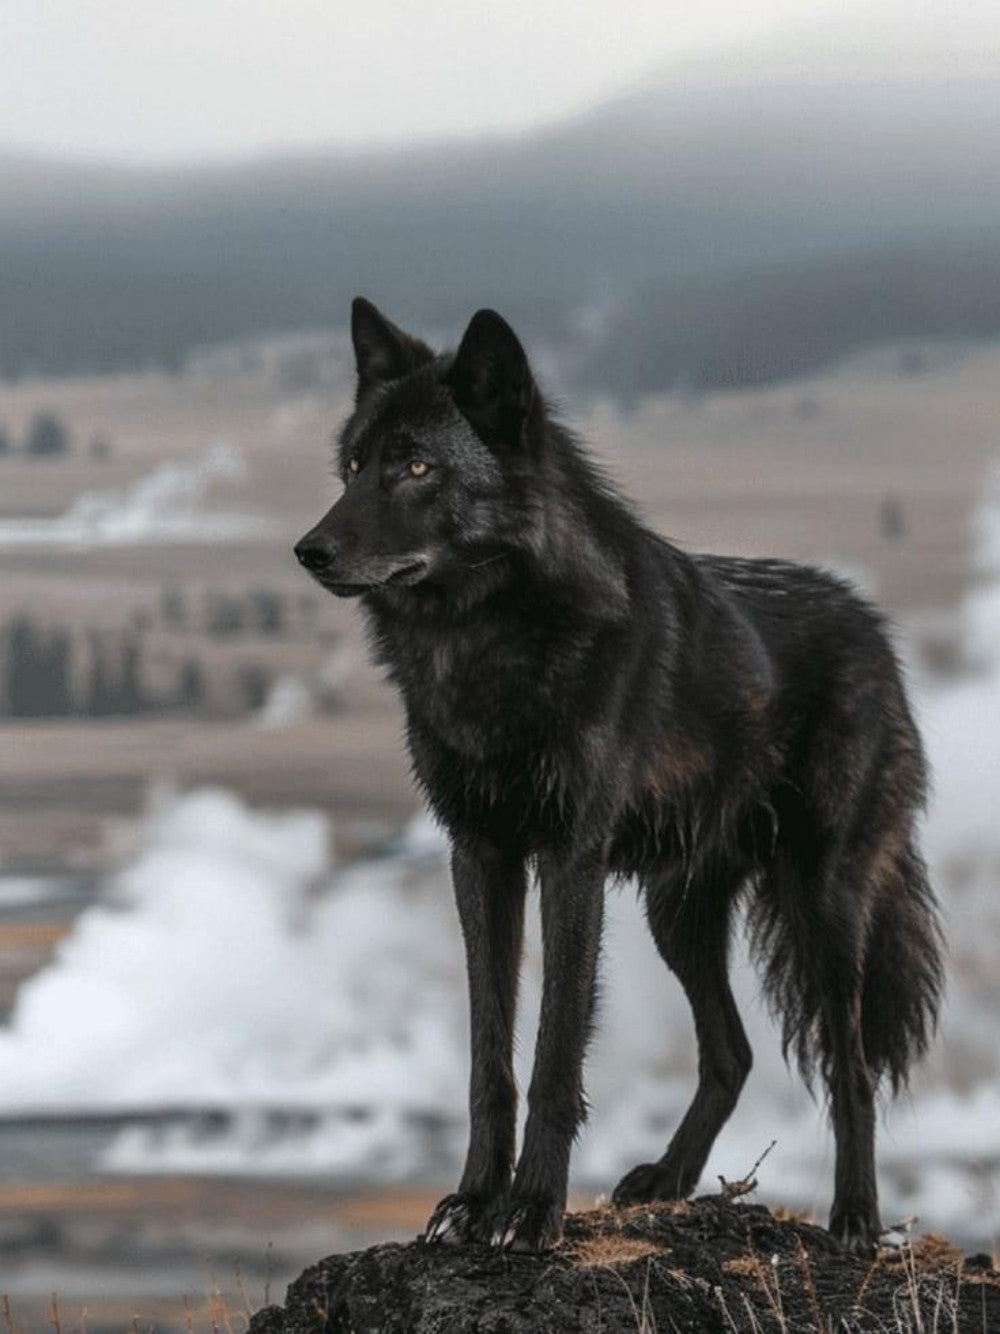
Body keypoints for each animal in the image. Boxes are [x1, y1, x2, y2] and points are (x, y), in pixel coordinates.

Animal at [295, 298, 943, 1256]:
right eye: (351, 465)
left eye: (416, 466)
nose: (309, 551)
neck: (488, 643)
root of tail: (873, 629)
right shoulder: (480, 855)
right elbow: (489, 1056)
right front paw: (474, 1202)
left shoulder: (571, 859)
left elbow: (555, 1051)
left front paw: (531, 1210)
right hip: (678, 915)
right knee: (733, 1052)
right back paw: (668, 1181)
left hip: (821, 903)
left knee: (849, 1066)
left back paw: (855, 1222)